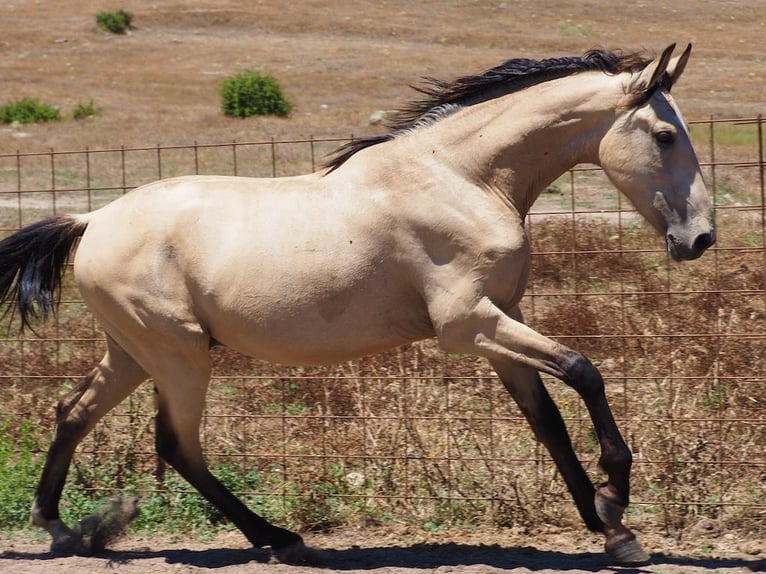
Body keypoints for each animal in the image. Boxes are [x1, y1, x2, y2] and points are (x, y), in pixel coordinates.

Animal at [1, 44, 720, 564]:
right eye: (664, 134)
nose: (700, 238)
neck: (462, 179)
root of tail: (92, 219)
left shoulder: (499, 326)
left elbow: (547, 423)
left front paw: (608, 530)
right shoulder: (468, 325)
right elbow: (583, 371)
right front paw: (617, 501)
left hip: (133, 352)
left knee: (72, 413)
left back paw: (60, 529)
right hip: (178, 355)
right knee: (179, 446)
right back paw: (278, 538)